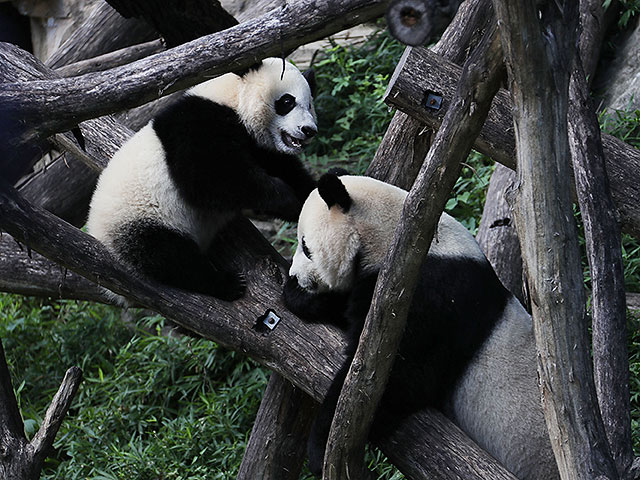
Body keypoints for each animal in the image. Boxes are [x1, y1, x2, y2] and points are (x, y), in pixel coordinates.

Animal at [87, 57, 318, 300]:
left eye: (309, 104)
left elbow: (287, 169)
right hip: (139, 221)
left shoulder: (259, 145)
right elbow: (210, 180)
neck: (232, 99)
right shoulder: (198, 126)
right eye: (287, 101)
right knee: (170, 257)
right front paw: (287, 200)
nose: (308, 130)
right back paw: (227, 284)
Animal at [282, 173, 556, 480]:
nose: (296, 276)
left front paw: (321, 447)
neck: (394, 237)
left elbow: (402, 376)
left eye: (306, 247)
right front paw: (298, 296)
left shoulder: (427, 295)